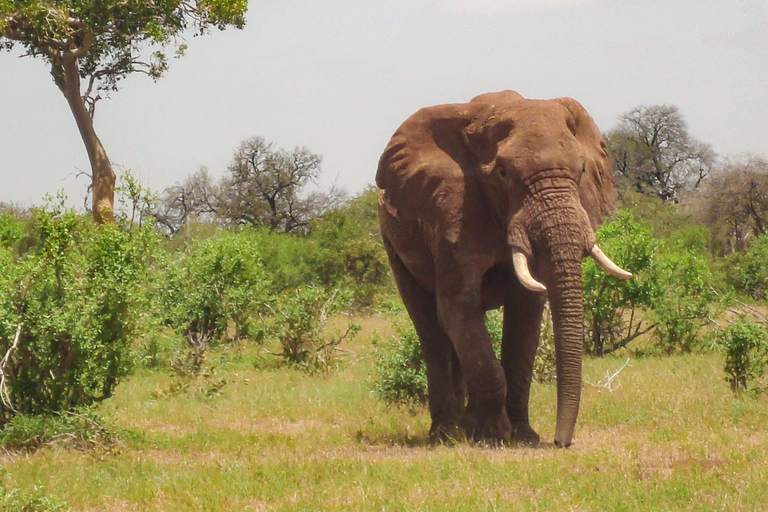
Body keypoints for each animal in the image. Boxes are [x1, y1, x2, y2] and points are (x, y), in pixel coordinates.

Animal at [374, 91, 632, 448]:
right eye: (502, 174)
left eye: (581, 170)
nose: (560, 442)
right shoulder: (453, 211)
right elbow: (458, 307)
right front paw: (490, 434)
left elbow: (525, 314)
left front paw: (523, 437)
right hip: (392, 241)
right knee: (430, 327)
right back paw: (446, 434)